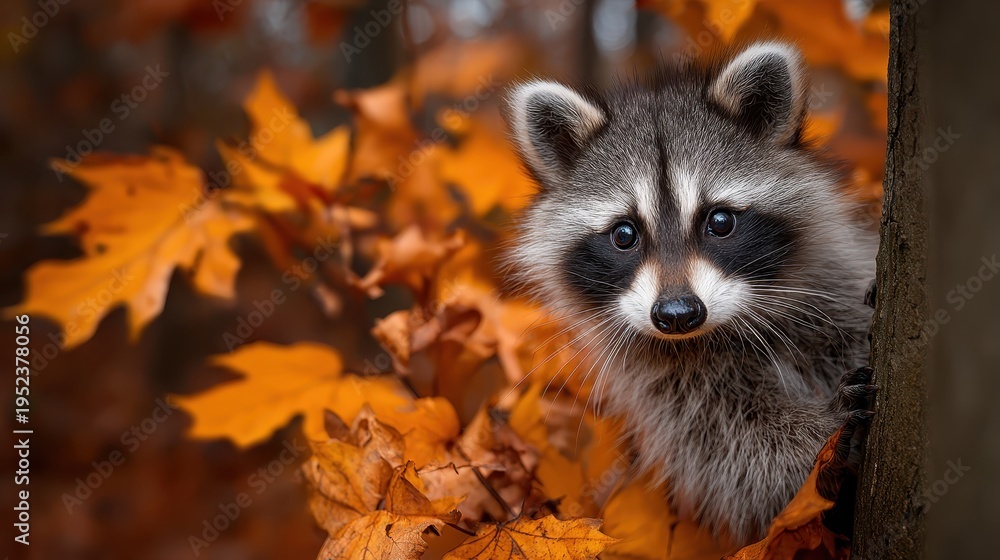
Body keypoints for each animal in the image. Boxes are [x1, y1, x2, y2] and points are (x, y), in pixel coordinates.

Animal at [502, 42, 877, 545]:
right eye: (624, 234)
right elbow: (741, 454)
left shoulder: (831, 290)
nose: (678, 314)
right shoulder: (667, 387)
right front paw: (824, 441)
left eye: (719, 221)